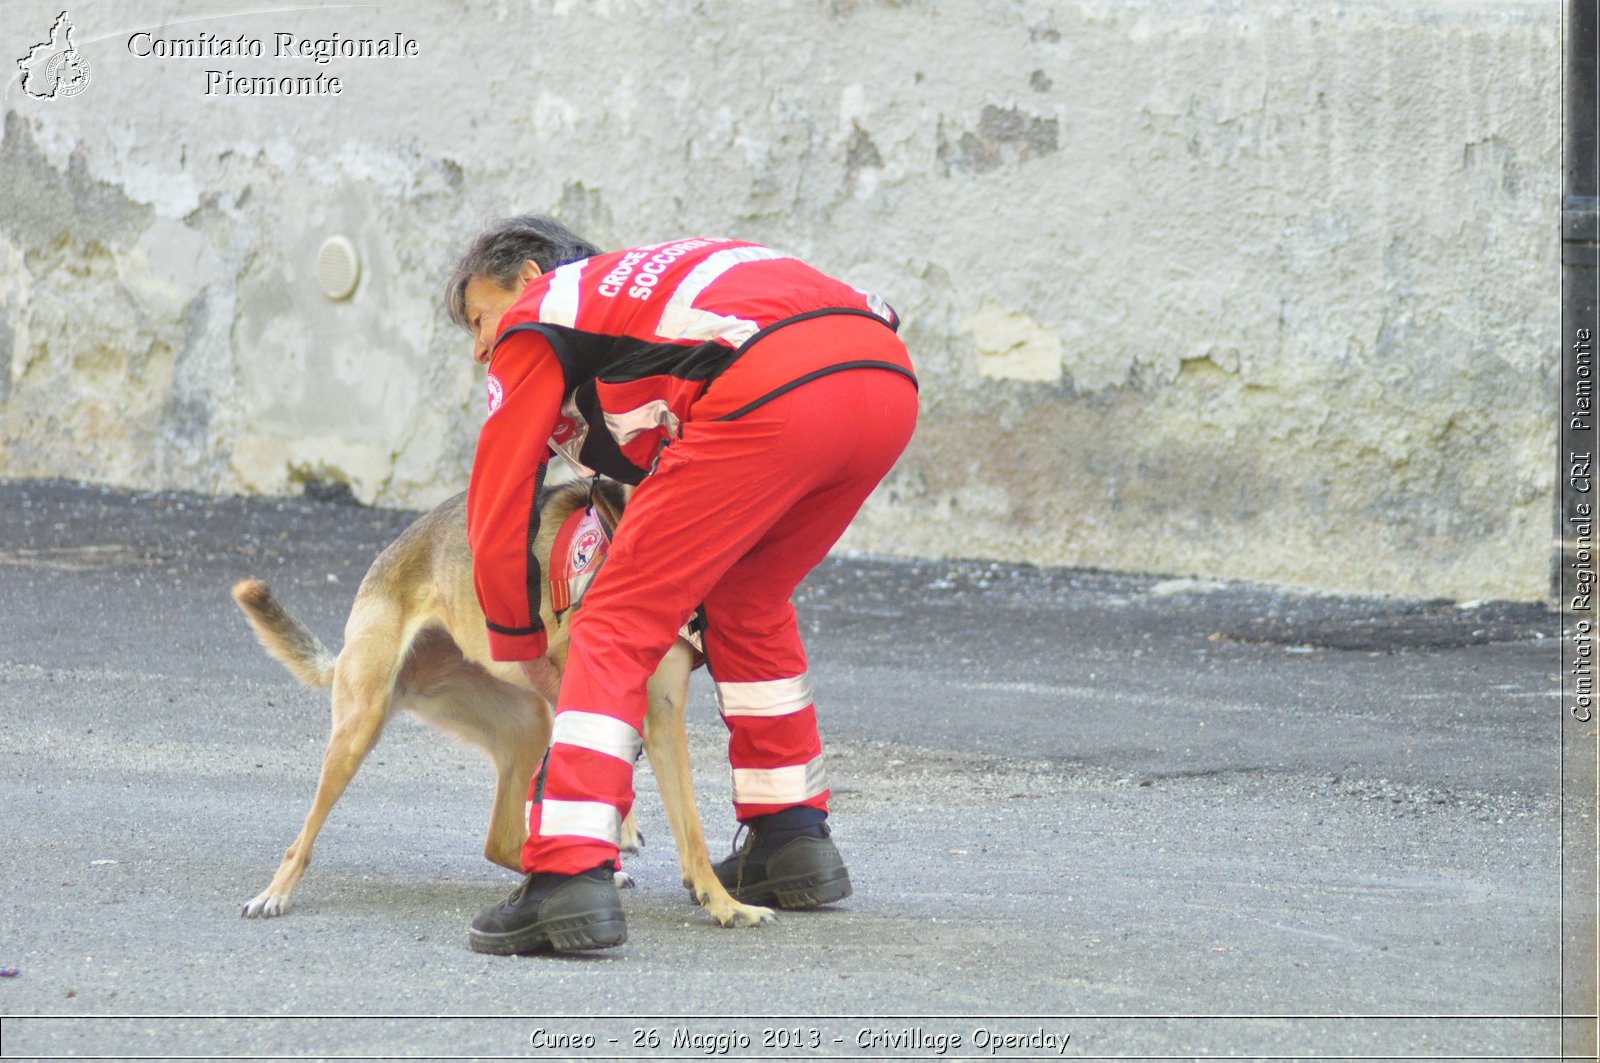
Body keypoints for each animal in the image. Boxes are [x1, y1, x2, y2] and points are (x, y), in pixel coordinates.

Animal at [232, 480, 774, 928]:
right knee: (302, 840)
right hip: (358, 729)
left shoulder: (661, 716)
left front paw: (723, 903)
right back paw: (274, 892)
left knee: (502, 841)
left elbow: (691, 829)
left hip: (527, 724)